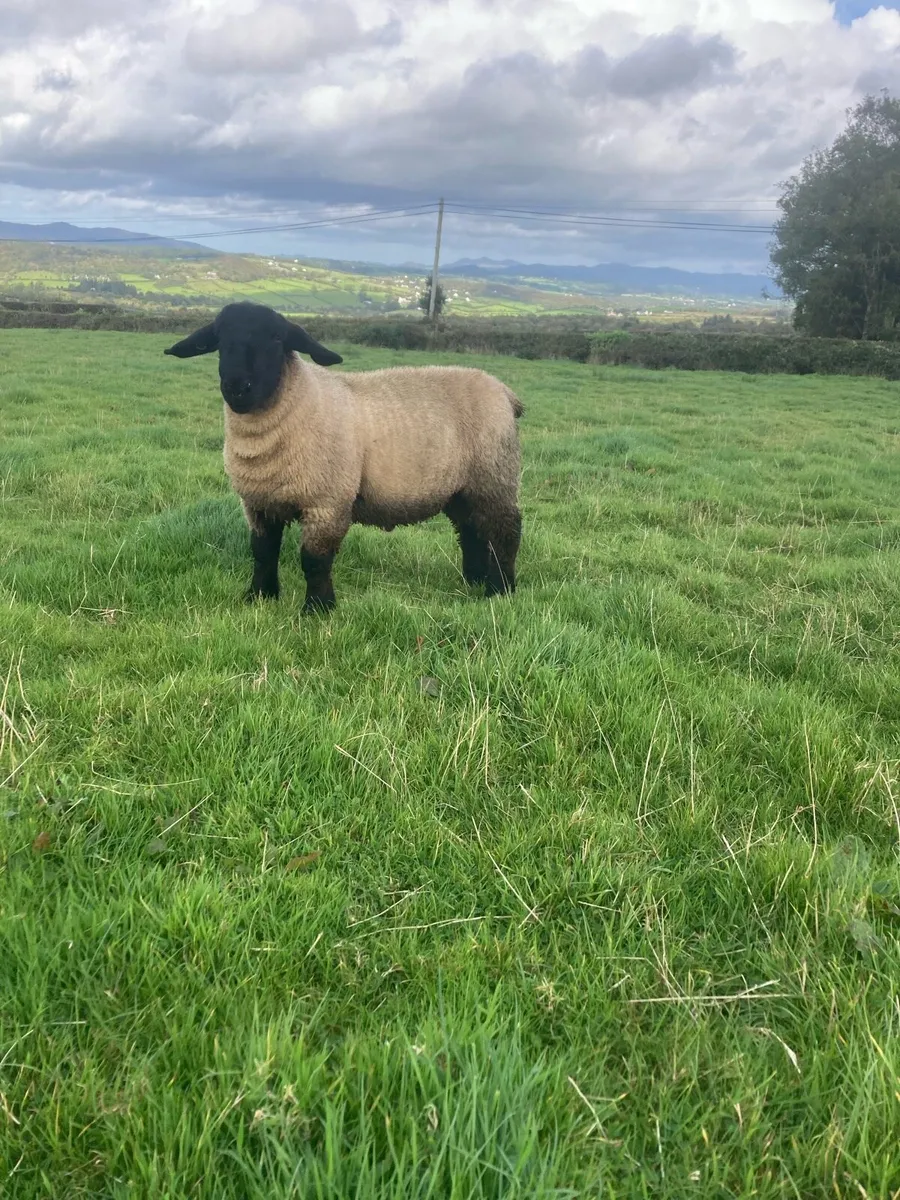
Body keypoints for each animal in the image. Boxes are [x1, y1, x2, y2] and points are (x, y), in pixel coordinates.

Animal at [164, 301, 523, 613]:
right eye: (219, 339)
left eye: (277, 338)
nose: (238, 387)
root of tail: (505, 391)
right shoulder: (259, 502)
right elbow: (263, 553)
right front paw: (259, 597)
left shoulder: (327, 501)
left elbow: (314, 560)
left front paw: (317, 609)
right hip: (461, 488)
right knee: (472, 530)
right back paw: (474, 581)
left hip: (494, 474)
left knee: (504, 529)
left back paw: (499, 589)